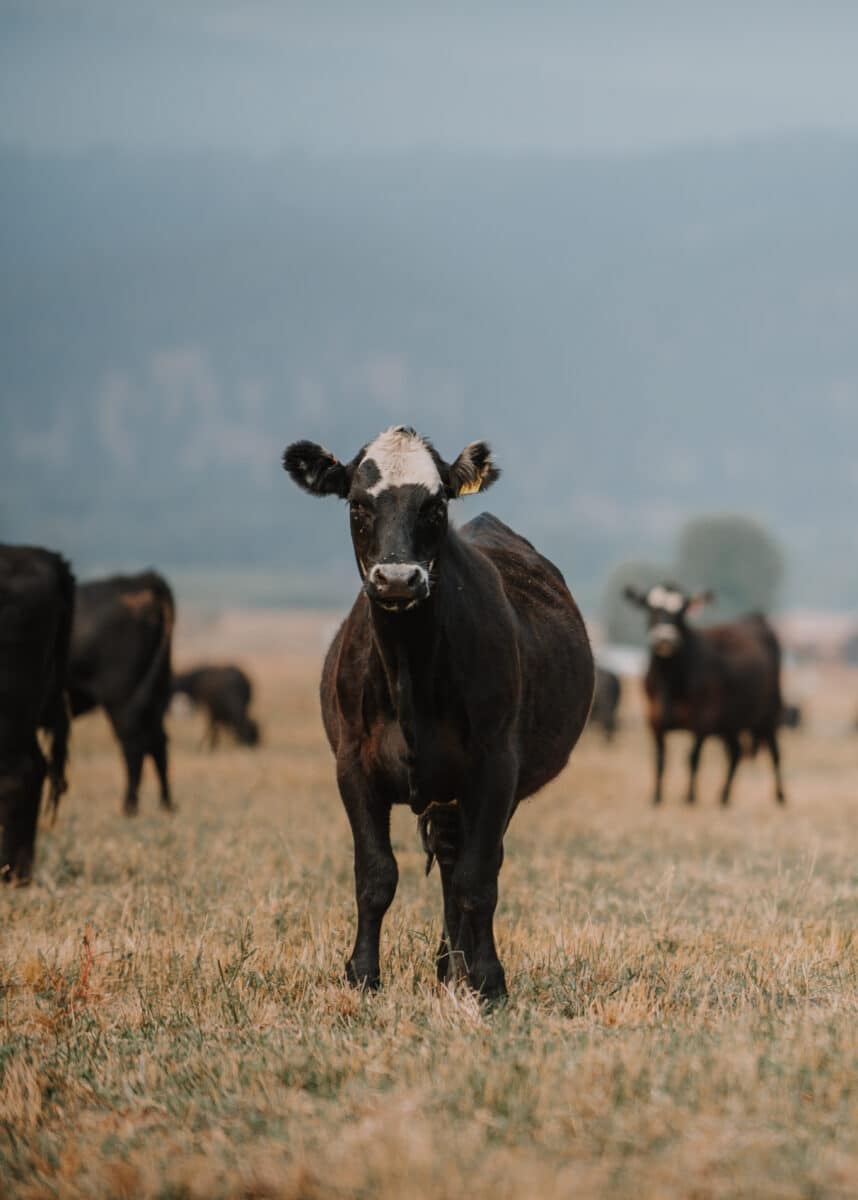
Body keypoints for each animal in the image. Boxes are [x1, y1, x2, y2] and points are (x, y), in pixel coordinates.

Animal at [69, 571, 175, 815]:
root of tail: (144, 578)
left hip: (122, 698)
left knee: (135, 744)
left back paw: (129, 806)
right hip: (156, 694)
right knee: (157, 742)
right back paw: (165, 804)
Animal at [282, 426, 594, 1000]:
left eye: (436, 505)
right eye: (357, 504)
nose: (397, 578)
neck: (410, 672)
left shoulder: (496, 769)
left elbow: (478, 880)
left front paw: (488, 980)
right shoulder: (352, 767)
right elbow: (375, 875)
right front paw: (362, 974)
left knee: (466, 863)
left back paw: (458, 967)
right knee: (448, 858)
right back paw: (449, 965)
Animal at [624, 583, 785, 806]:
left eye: (682, 611)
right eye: (651, 608)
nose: (665, 639)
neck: (671, 678)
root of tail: (756, 618)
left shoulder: (702, 720)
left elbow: (692, 758)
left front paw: (689, 798)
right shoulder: (654, 721)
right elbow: (660, 760)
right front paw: (656, 798)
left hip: (768, 716)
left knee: (775, 754)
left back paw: (780, 797)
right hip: (729, 724)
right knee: (735, 753)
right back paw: (723, 797)